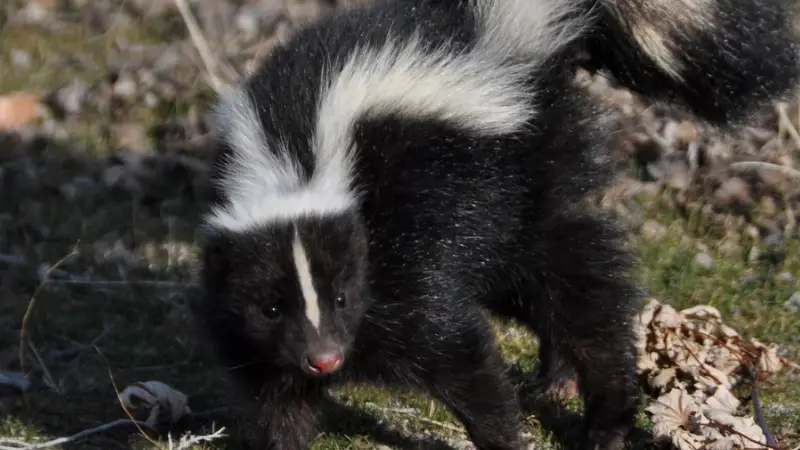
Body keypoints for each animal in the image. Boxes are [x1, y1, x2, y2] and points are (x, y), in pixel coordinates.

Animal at [198, 0, 800, 448]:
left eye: (343, 296)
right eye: (270, 307)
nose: (324, 359)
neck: (297, 165)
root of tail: (508, 31)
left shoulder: (408, 255)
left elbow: (460, 354)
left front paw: (503, 437)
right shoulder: (254, 332)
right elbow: (276, 399)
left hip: (525, 185)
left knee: (581, 292)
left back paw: (605, 417)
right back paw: (558, 379)